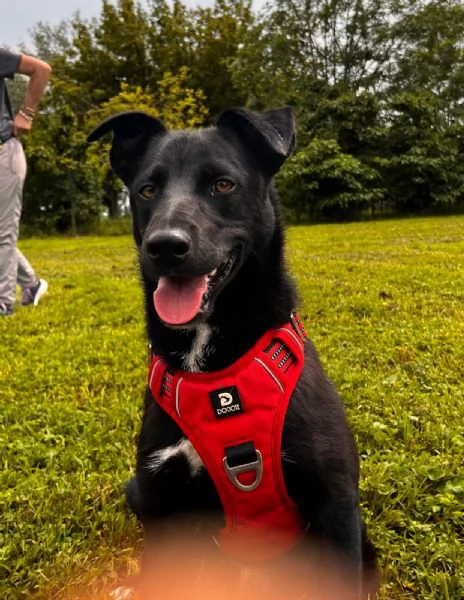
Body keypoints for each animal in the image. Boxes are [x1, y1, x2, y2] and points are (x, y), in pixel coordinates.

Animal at [89, 106, 378, 596]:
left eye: (223, 184)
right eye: (147, 190)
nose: (164, 246)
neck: (214, 371)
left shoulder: (336, 503)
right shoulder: (162, 500)